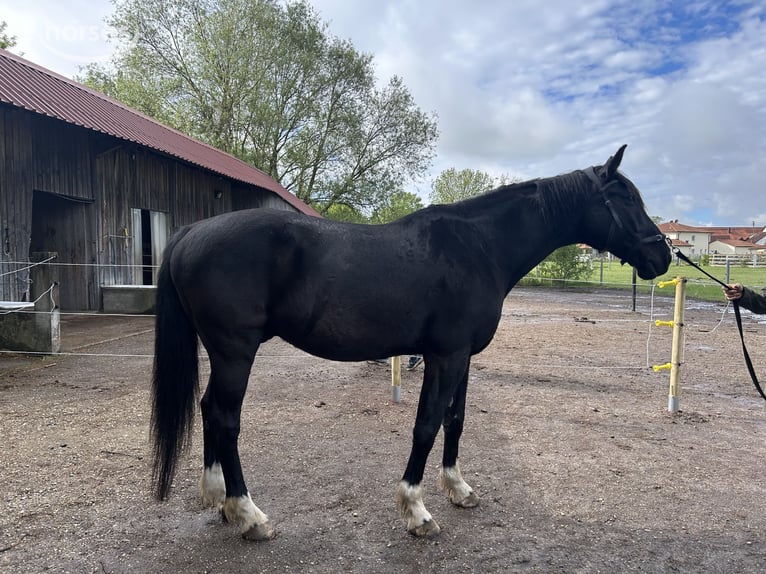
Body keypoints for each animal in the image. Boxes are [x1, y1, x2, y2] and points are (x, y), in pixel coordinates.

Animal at [150, 145, 671, 540]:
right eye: (623, 197)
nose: (662, 255)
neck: (479, 247)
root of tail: (190, 231)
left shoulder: (463, 357)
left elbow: (455, 420)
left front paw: (458, 489)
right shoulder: (445, 355)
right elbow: (426, 425)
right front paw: (417, 511)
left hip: (223, 354)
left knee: (207, 409)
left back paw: (220, 500)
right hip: (235, 352)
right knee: (225, 418)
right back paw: (248, 514)